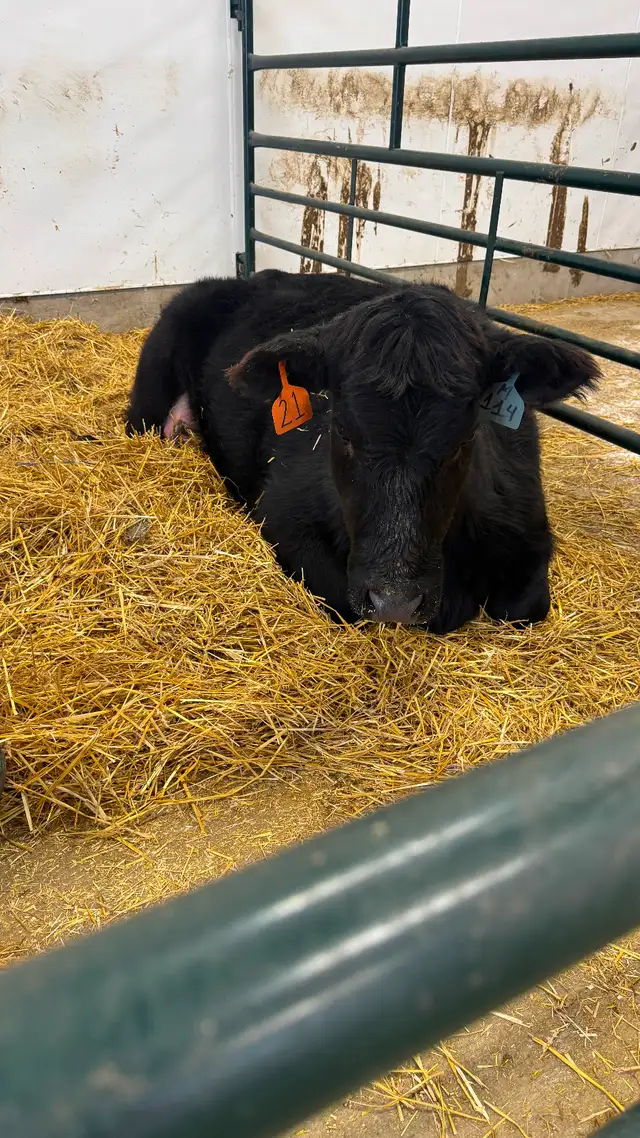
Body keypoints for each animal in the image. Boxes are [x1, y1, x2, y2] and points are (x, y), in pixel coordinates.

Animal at [125, 270, 599, 632]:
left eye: (464, 439)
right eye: (343, 431)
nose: (396, 601)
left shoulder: (529, 527)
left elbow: (524, 607)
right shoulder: (284, 515)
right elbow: (342, 602)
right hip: (149, 392)